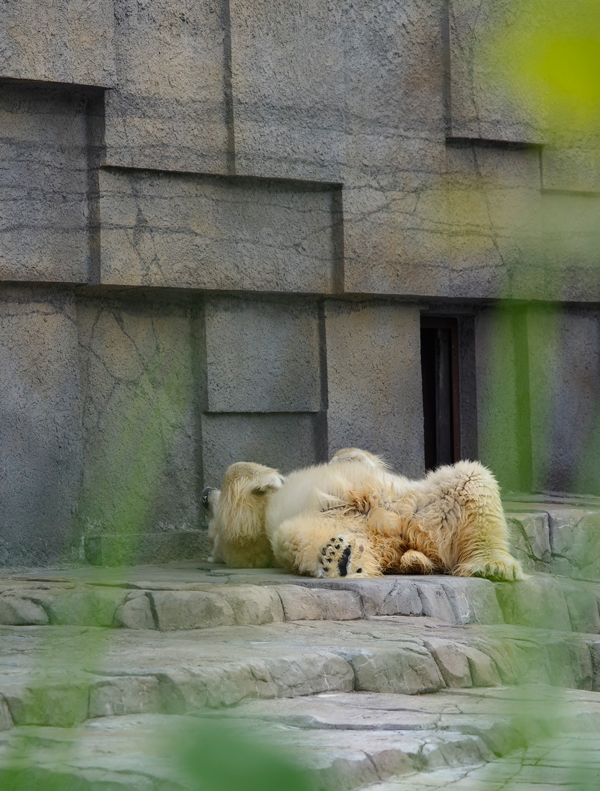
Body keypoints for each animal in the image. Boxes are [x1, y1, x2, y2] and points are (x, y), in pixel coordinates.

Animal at [202, 452, 520, 580]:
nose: (204, 493)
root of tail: (396, 543)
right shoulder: (252, 538)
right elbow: (241, 533)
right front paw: (270, 477)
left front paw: (272, 478)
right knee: (292, 536)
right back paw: (341, 558)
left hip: (420, 506)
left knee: (470, 477)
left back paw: (493, 565)